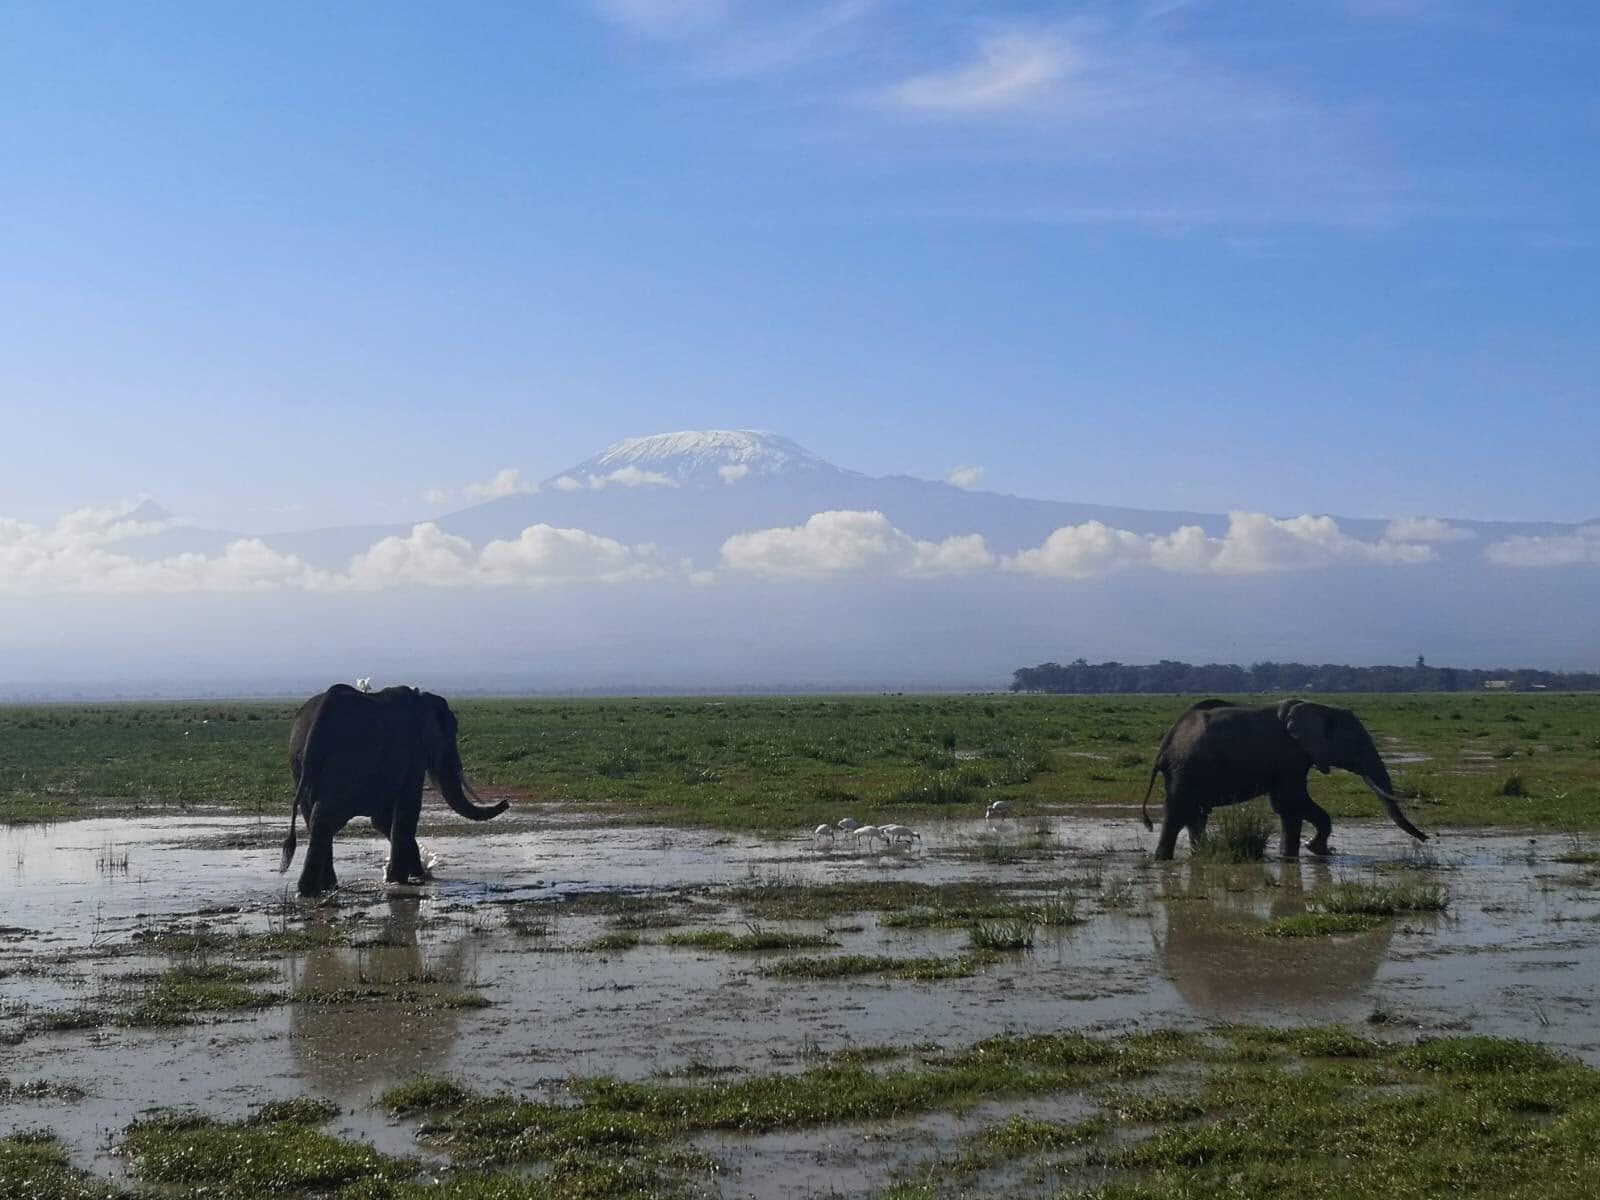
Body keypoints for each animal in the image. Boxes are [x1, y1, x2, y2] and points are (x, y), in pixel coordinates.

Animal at [281, 684, 509, 896]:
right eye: (451, 734)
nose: (506, 802)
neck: (421, 698)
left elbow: (382, 820)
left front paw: (414, 876)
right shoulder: (414, 752)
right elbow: (407, 809)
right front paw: (404, 880)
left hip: (300, 764)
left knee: (316, 820)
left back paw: (323, 888)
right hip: (345, 763)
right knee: (324, 819)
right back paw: (311, 891)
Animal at [1139, 698, 1428, 861]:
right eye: (1356, 746)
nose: (1426, 839)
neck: (1321, 708)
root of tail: (1164, 747)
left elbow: (1289, 806)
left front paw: (1299, 854)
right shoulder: (1290, 755)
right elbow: (1290, 802)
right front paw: (1312, 850)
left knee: (1196, 814)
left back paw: (1201, 855)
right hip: (1184, 771)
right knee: (1179, 814)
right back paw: (1163, 861)